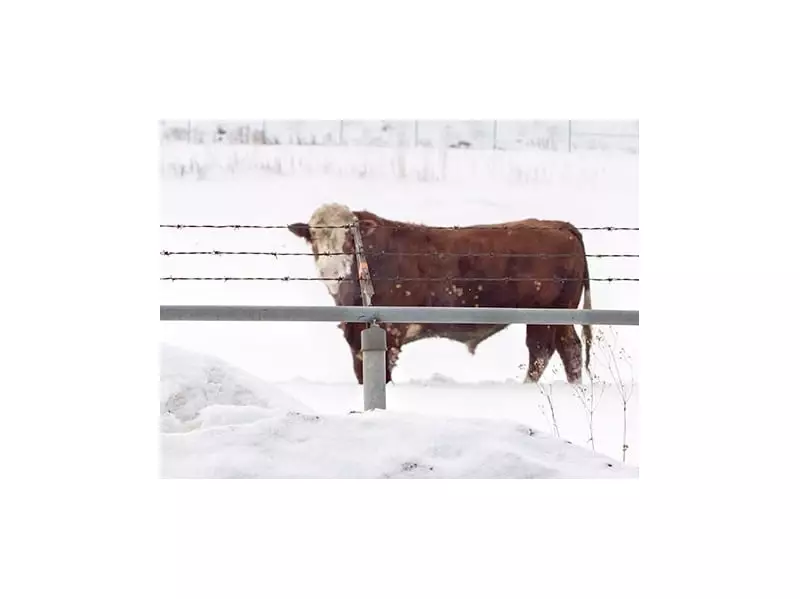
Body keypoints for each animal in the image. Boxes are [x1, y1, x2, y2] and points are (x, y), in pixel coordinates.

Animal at [288, 203, 593, 385]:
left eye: (349, 239)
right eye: (314, 240)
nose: (333, 269)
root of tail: (559, 224)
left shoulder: (389, 332)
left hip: (545, 315)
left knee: (541, 352)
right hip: (562, 313)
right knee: (570, 349)